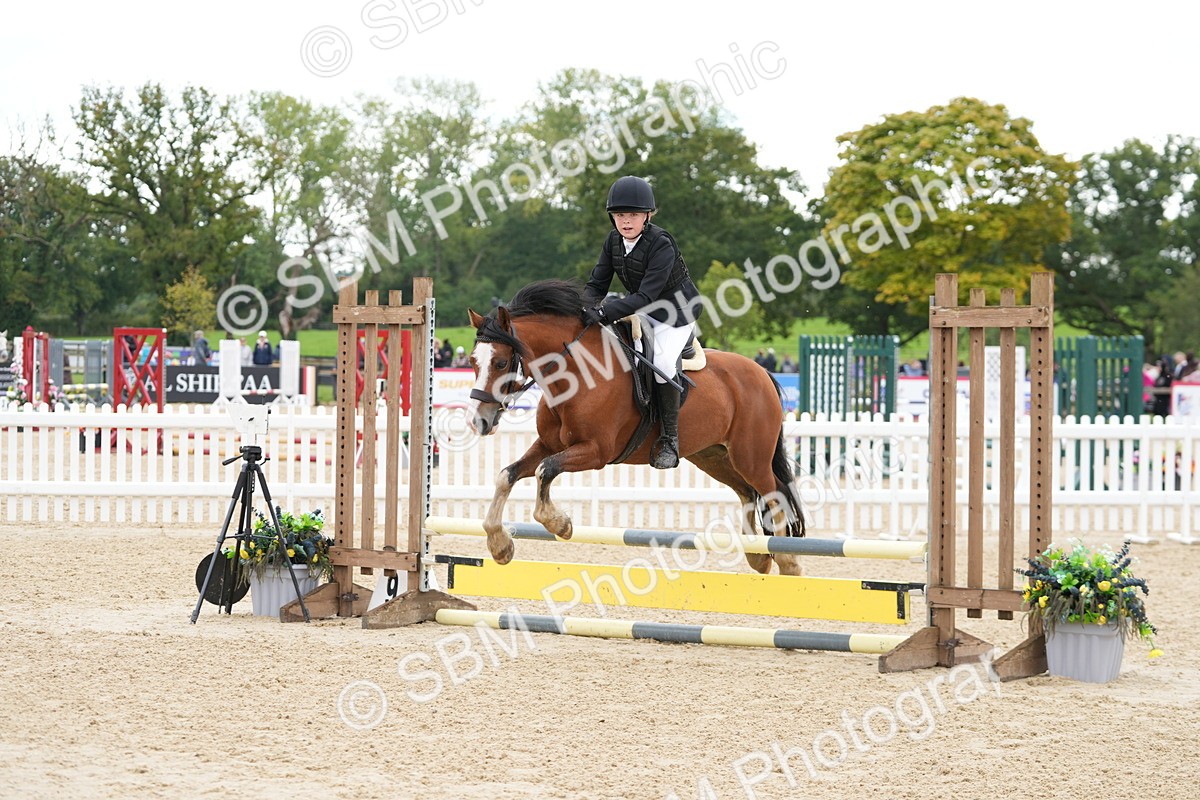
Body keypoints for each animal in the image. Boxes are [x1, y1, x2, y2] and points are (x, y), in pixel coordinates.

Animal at [465, 279, 806, 576]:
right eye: (472, 361)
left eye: (500, 363)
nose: (479, 421)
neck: (575, 373)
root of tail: (760, 371)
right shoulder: (549, 444)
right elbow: (507, 476)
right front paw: (499, 546)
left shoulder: (596, 451)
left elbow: (544, 470)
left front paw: (559, 524)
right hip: (714, 456)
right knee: (747, 493)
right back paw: (758, 556)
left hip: (750, 456)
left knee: (774, 492)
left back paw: (788, 562)